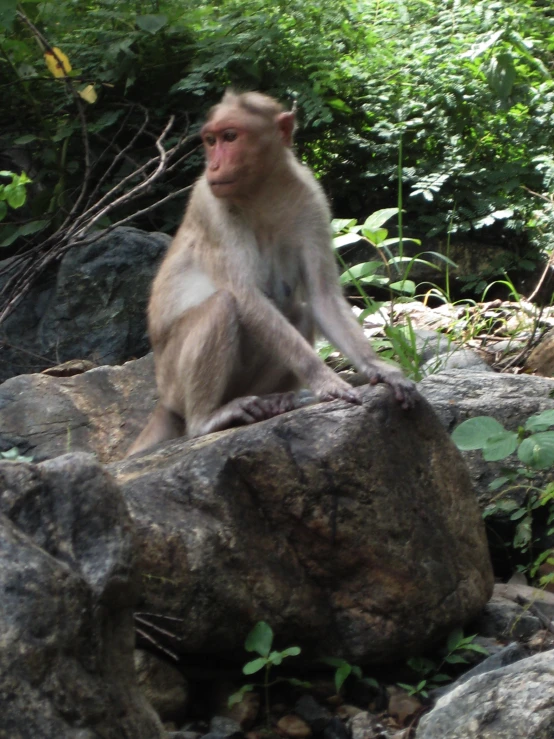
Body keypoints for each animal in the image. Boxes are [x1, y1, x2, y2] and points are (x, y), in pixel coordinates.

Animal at [127, 89, 414, 454]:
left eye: (230, 137)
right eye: (210, 140)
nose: (214, 164)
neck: (262, 192)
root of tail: (162, 401)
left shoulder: (312, 199)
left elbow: (322, 296)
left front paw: (376, 367)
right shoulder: (210, 204)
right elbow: (246, 297)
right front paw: (324, 379)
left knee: (301, 312)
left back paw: (275, 401)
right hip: (172, 383)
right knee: (222, 305)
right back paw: (206, 420)